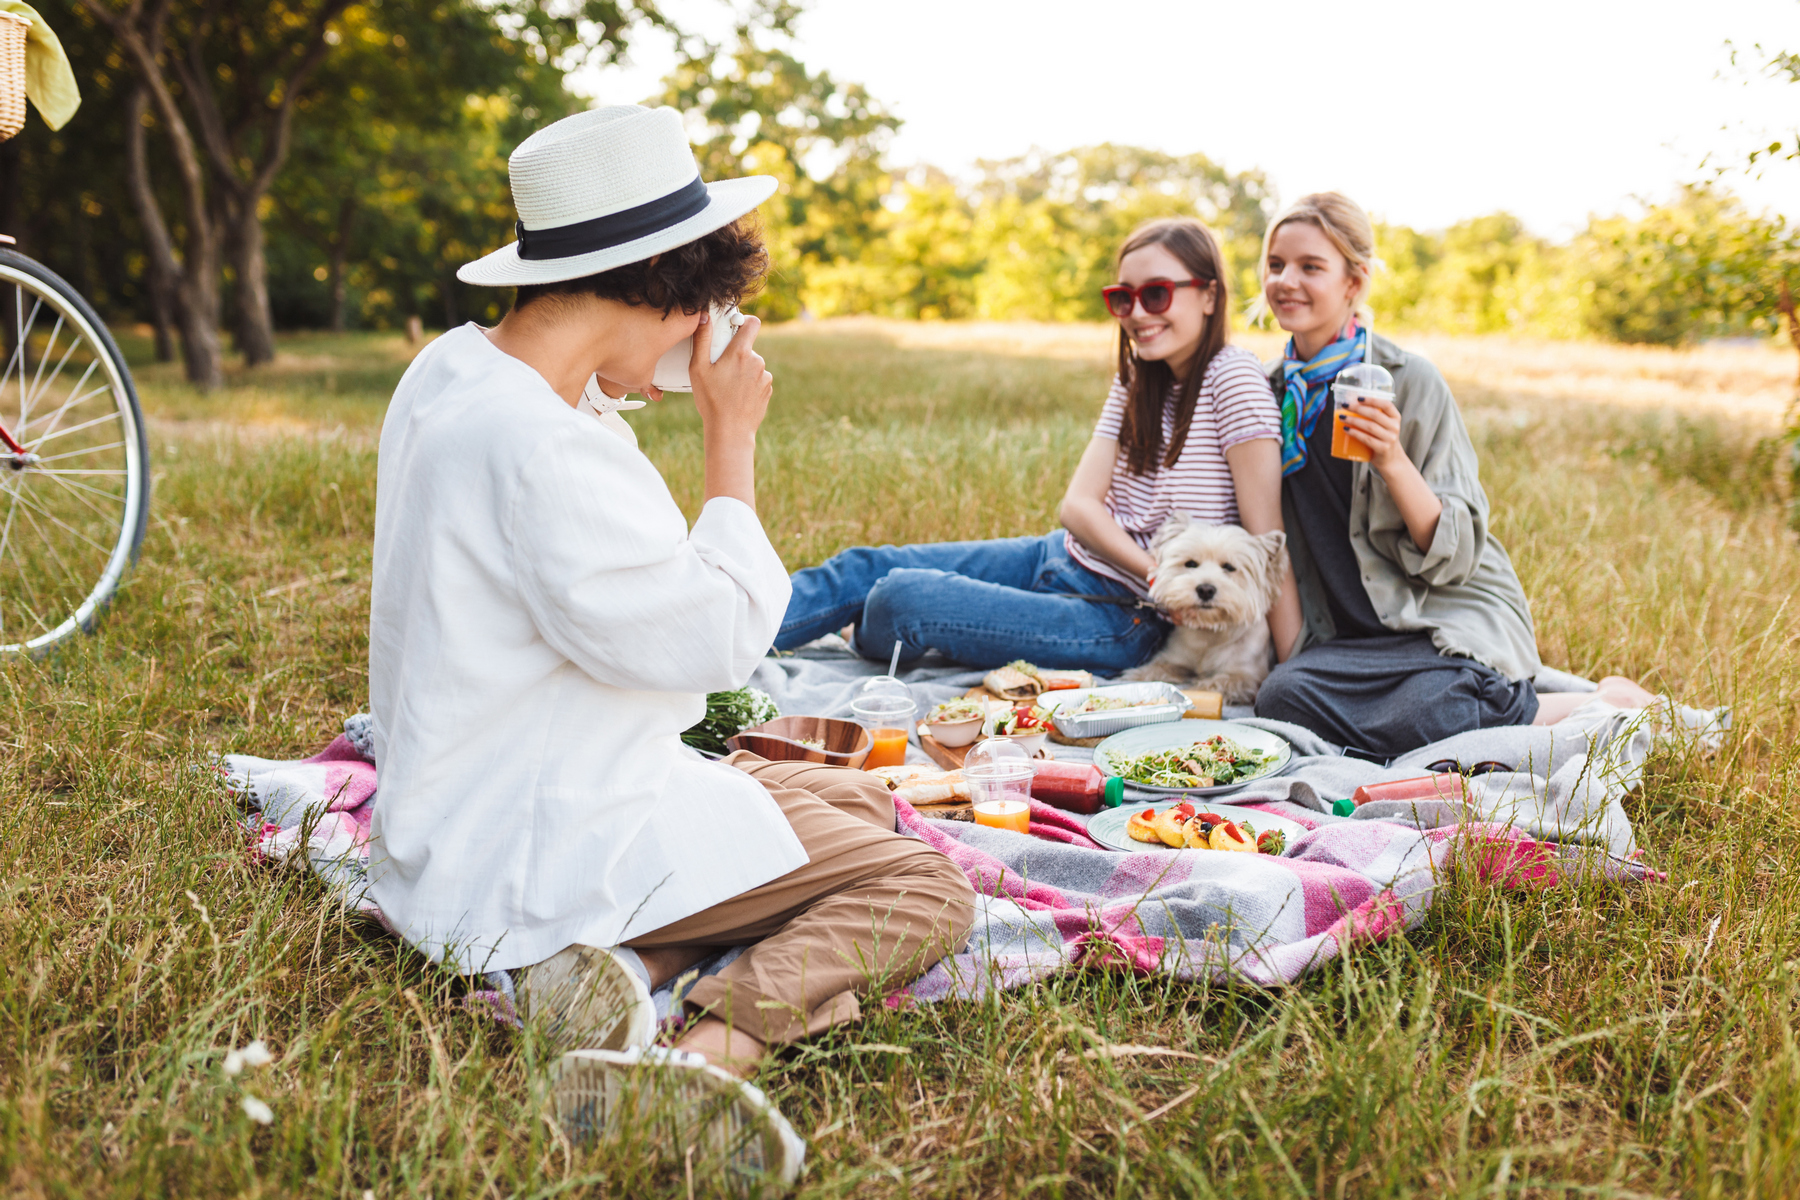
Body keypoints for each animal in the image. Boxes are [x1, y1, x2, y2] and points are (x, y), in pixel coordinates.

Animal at [1116, 514, 1288, 705]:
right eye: (1191, 564)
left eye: (1229, 567)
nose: (1205, 590)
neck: (1207, 636)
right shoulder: (1174, 659)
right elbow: (1155, 668)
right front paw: (1134, 676)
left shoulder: (1247, 675)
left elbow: (1219, 683)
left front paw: (1200, 690)